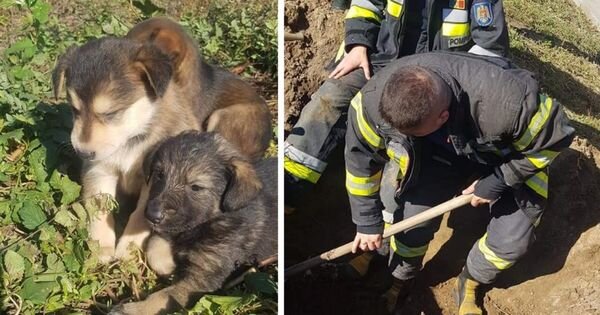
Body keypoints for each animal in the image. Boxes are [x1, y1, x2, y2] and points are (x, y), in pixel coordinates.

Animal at [51, 16, 272, 262]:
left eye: (111, 113)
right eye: (74, 110)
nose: (82, 152)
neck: (133, 138)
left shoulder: (154, 180)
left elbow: (140, 214)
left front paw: (128, 247)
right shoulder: (100, 170)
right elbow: (101, 207)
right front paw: (101, 246)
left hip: (223, 117)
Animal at [109, 131, 278, 315]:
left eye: (196, 187)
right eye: (159, 174)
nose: (152, 215)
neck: (206, 223)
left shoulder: (203, 275)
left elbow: (163, 297)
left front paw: (134, 309)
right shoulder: (169, 231)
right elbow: (154, 249)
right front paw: (171, 267)